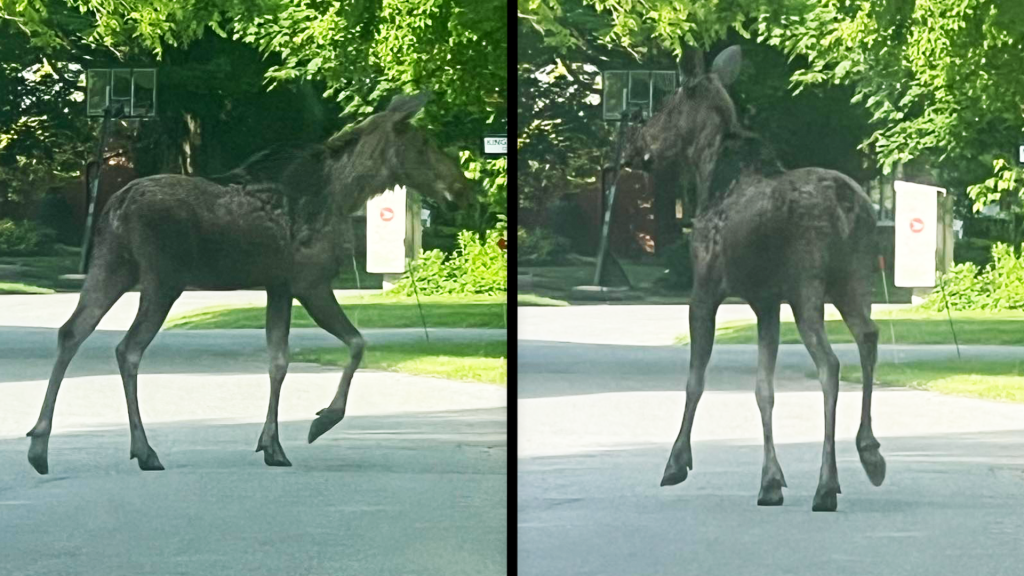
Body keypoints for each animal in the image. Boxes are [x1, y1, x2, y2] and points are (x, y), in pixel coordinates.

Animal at [24, 93, 471, 471]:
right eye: (425, 143)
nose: (462, 188)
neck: (343, 196)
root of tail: (115, 204)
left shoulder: (279, 286)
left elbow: (278, 360)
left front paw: (271, 445)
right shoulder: (309, 282)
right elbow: (357, 343)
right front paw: (321, 421)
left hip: (112, 268)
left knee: (71, 331)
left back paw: (39, 445)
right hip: (162, 279)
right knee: (127, 348)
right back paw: (143, 450)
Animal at [618, 47, 892, 508]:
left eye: (668, 105)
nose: (634, 148)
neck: (708, 174)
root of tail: (851, 209)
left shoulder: (705, 290)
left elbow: (695, 380)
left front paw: (676, 462)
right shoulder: (766, 303)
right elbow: (764, 388)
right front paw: (770, 481)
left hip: (808, 289)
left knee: (831, 363)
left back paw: (827, 484)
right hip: (854, 281)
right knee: (869, 337)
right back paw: (870, 453)